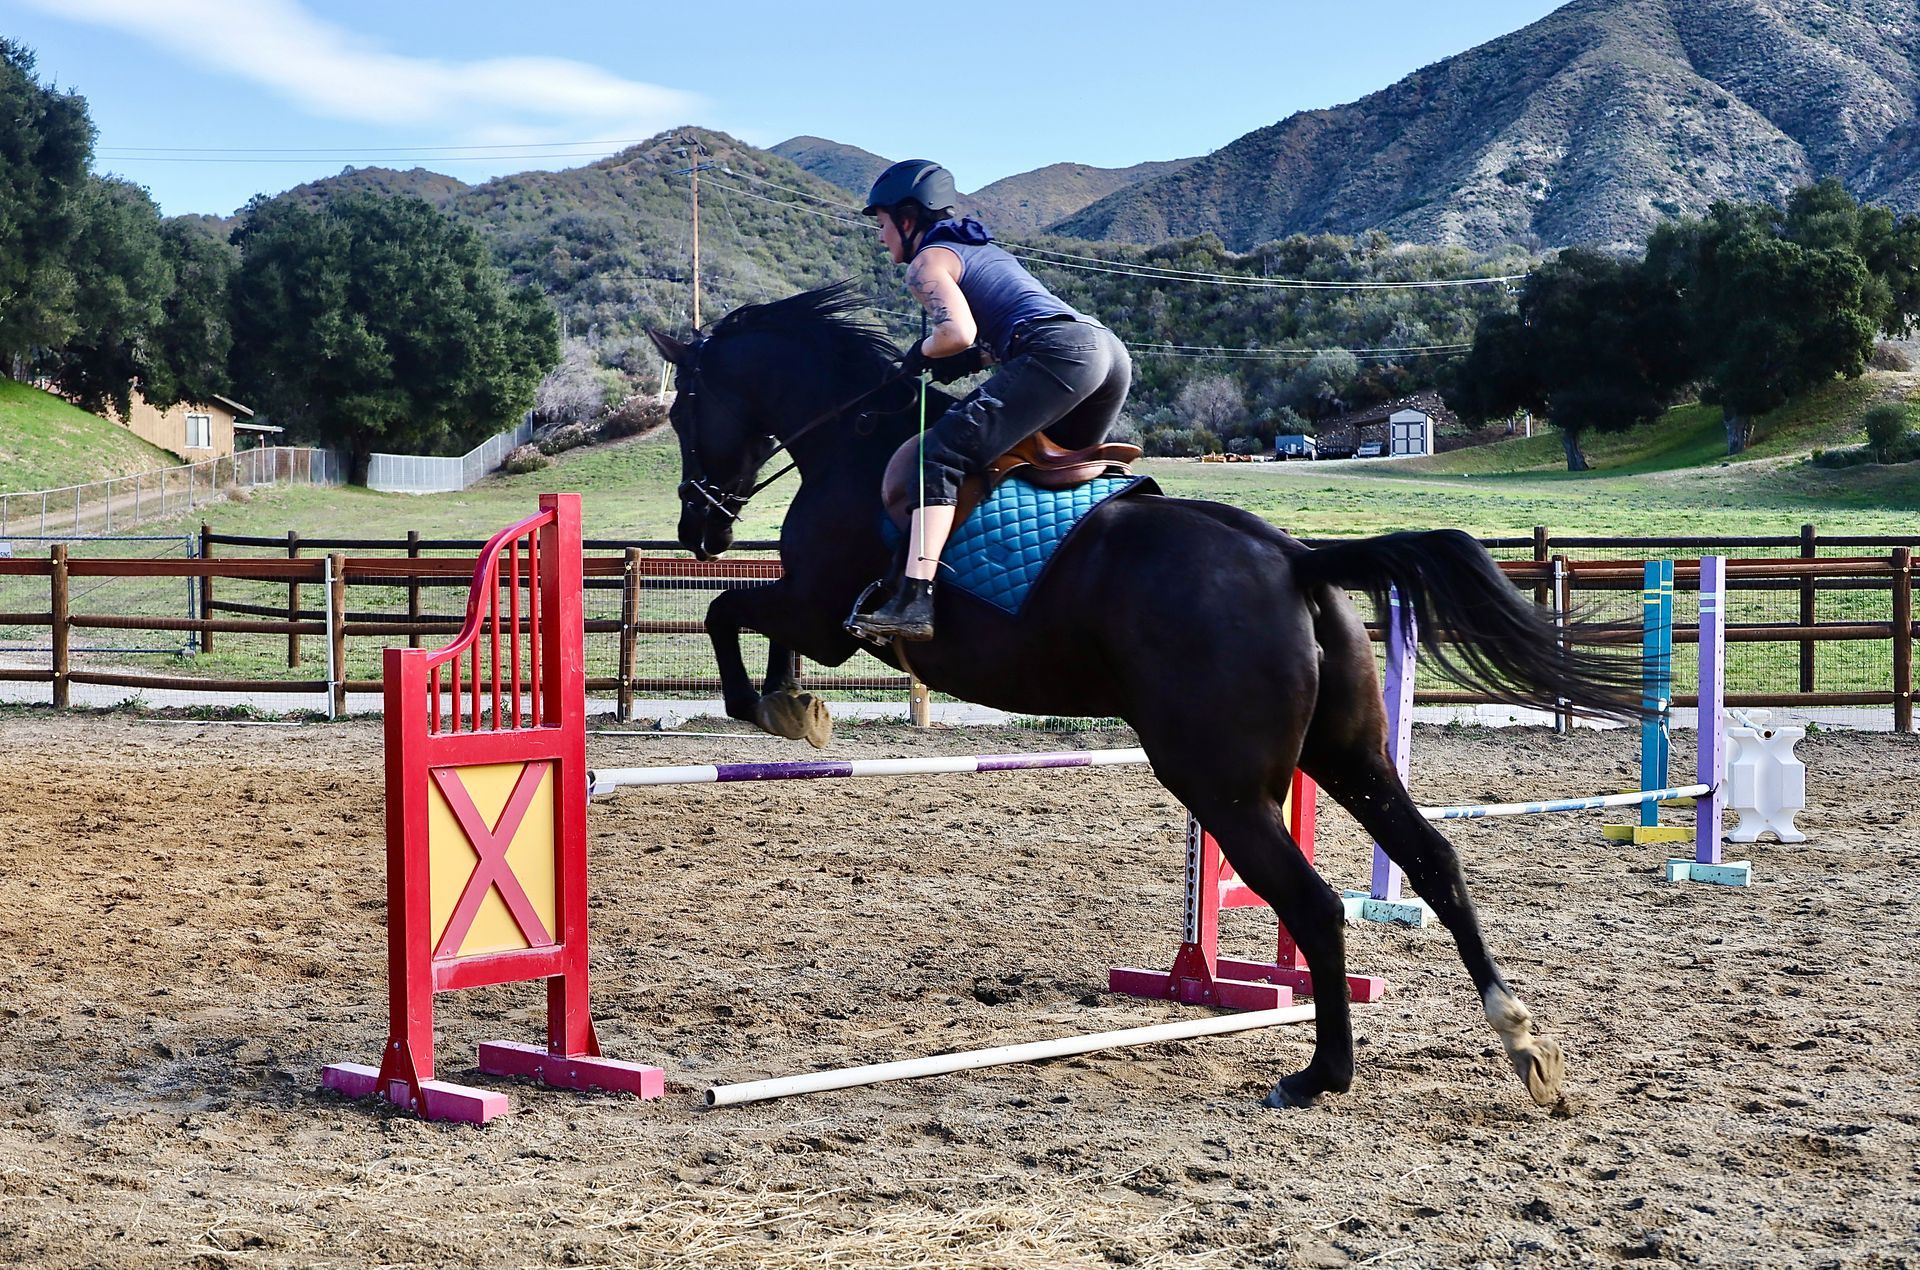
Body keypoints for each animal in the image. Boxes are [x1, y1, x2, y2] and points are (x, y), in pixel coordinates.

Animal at [648, 283, 1642, 1110]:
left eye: (682, 408)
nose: (697, 528)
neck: (852, 442)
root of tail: (1295, 559)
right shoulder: (815, 613)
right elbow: (749, 619)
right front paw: (794, 706)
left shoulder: (826, 612)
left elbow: (731, 614)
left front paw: (775, 706)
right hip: (1347, 755)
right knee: (1434, 860)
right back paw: (1522, 1044)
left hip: (1221, 786)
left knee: (1315, 903)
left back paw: (1322, 1074)